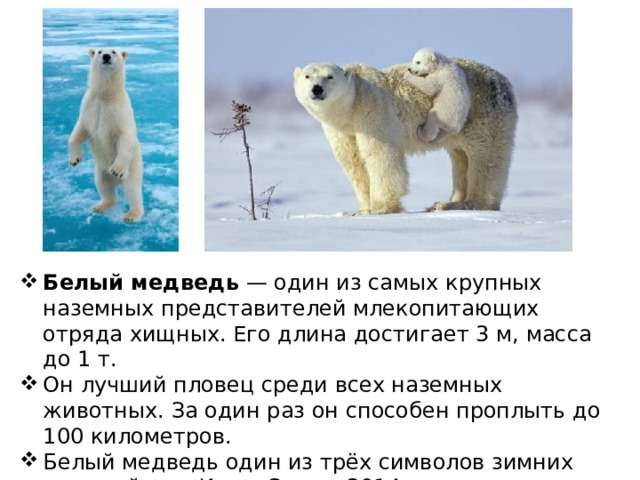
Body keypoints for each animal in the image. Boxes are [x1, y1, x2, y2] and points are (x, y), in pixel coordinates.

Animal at [68, 48, 144, 223]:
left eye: (114, 51)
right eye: (99, 51)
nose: (106, 56)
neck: (105, 95)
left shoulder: (119, 111)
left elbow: (125, 135)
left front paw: (116, 169)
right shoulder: (89, 107)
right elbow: (79, 130)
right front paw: (75, 159)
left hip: (133, 167)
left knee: (132, 189)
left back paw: (132, 214)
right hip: (101, 170)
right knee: (103, 185)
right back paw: (101, 205)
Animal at [293, 58, 517, 213]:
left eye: (329, 76)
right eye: (307, 76)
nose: (317, 89)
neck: (351, 107)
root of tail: (505, 82)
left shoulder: (373, 112)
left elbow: (380, 156)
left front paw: (380, 208)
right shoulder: (341, 131)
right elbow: (354, 162)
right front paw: (360, 208)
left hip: (483, 114)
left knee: (485, 158)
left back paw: (469, 203)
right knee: (460, 156)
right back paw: (446, 202)